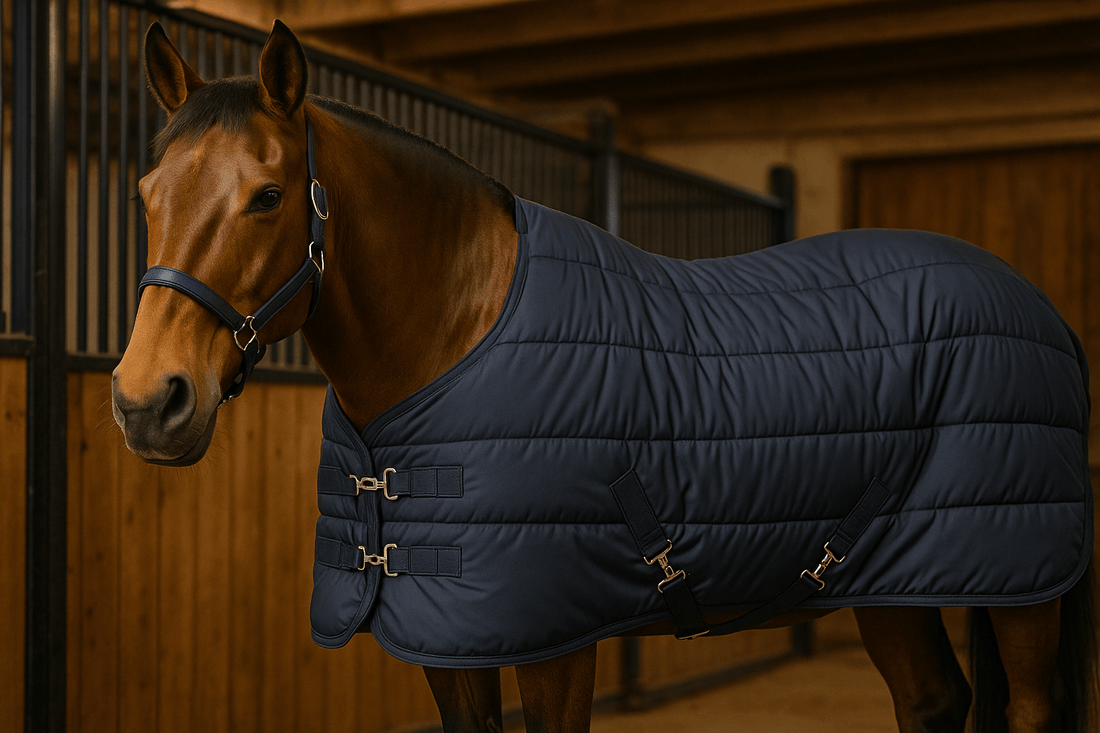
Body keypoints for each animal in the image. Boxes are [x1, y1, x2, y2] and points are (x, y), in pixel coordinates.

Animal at [111, 19, 1097, 733]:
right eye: (146, 193)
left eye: (268, 196)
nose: (148, 402)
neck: (458, 336)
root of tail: (1038, 306)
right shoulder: (446, 641)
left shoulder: (556, 640)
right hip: (889, 578)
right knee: (932, 700)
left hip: (1021, 586)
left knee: (1029, 708)